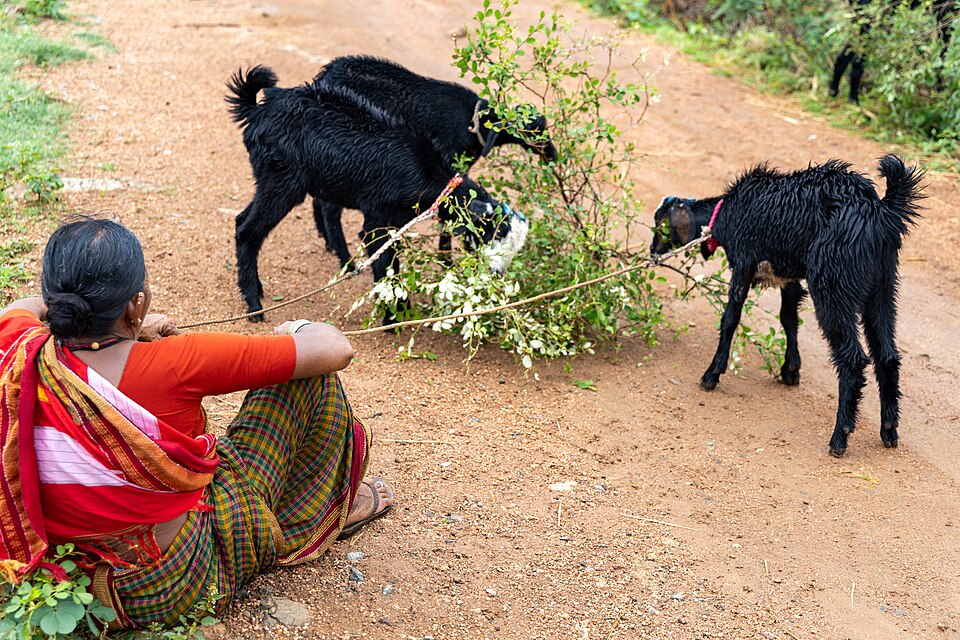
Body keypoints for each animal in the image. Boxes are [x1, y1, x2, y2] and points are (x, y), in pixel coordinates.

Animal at [226, 65, 528, 321]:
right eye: (493, 233)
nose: (497, 273)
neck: (424, 171)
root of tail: (257, 112)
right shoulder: (377, 217)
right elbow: (385, 264)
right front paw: (392, 318)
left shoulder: (397, 219)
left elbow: (392, 261)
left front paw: (400, 310)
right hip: (283, 181)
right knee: (249, 231)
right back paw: (254, 306)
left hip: (269, 178)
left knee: (241, 219)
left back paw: (257, 289)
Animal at [310, 55, 557, 267]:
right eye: (533, 131)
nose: (553, 155)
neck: (473, 122)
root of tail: (324, 74)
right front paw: (446, 260)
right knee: (331, 209)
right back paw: (344, 259)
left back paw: (327, 241)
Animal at [650, 155, 923, 457]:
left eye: (661, 225)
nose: (651, 252)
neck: (728, 212)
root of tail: (878, 212)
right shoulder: (789, 277)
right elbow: (788, 318)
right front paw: (790, 370)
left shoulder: (744, 263)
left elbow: (731, 317)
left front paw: (712, 374)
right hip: (883, 288)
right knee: (887, 355)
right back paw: (889, 430)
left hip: (833, 286)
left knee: (853, 359)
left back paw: (839, 437)